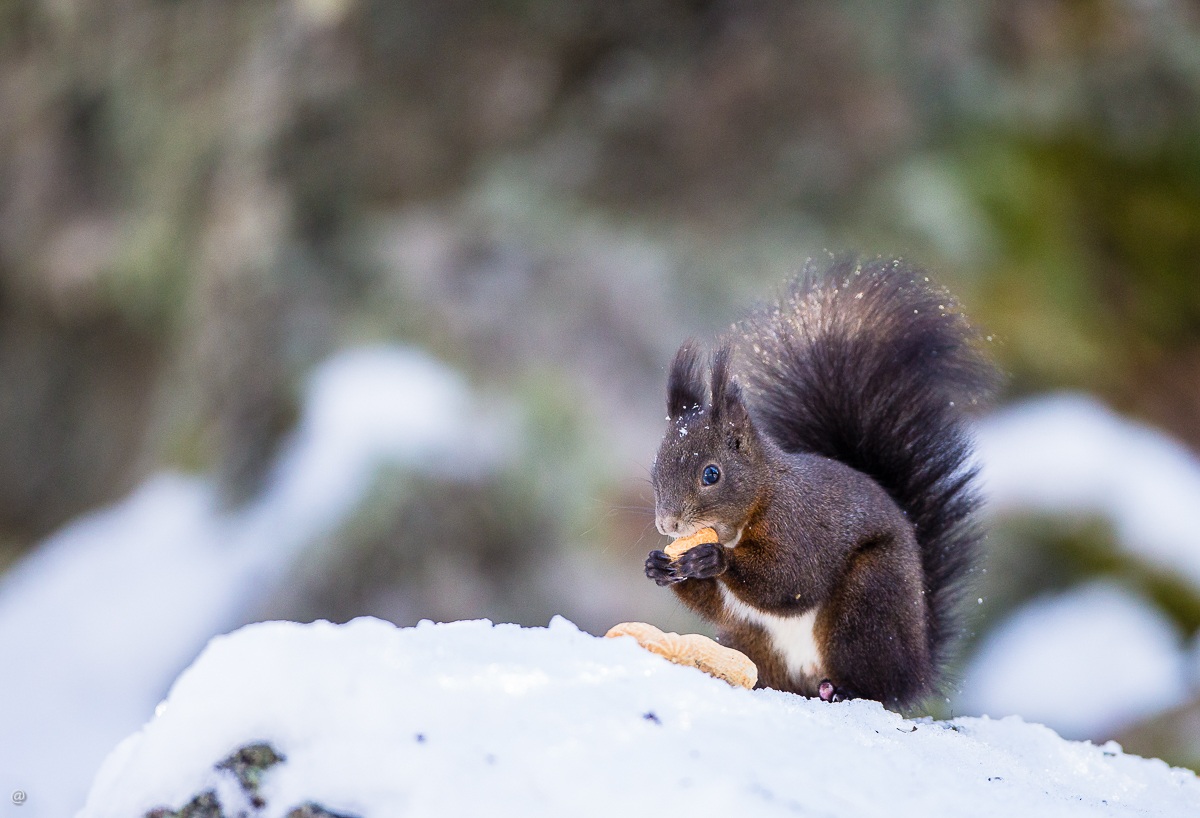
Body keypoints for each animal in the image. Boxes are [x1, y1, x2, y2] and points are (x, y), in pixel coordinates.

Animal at [645, 256, 998, 708]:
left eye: (712, 474)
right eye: (655, 469)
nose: (667, 524)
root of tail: (918, 664)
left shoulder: (801, 526)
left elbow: (792, 580)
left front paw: (713, 559)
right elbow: (717, 606)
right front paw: (659, 566)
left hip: (869, 601)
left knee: (878, 686)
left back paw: (848, 689)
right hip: (754, 642)